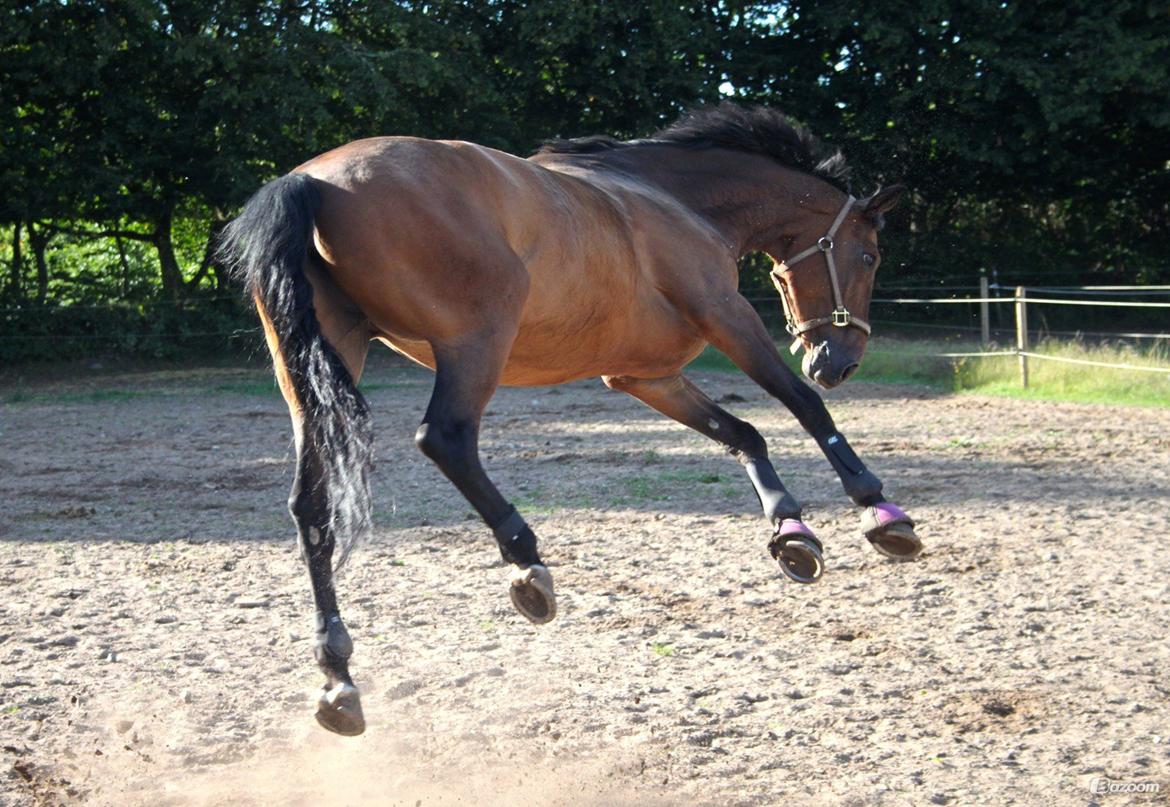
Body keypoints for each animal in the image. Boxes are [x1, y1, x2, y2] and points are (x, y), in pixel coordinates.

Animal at [219, 102, 921, 734]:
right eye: (869, 257)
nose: (839, 362)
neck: (675, 199)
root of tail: (312, 182)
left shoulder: (644, 375)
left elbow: (741, 433)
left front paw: (791, 530)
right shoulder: (727, 315)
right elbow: (801, 405)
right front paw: (880, 512)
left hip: (318, 370)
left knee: (312, 506)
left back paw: (338, 678)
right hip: (476, 339)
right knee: (445, 439)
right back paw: (526, 564)